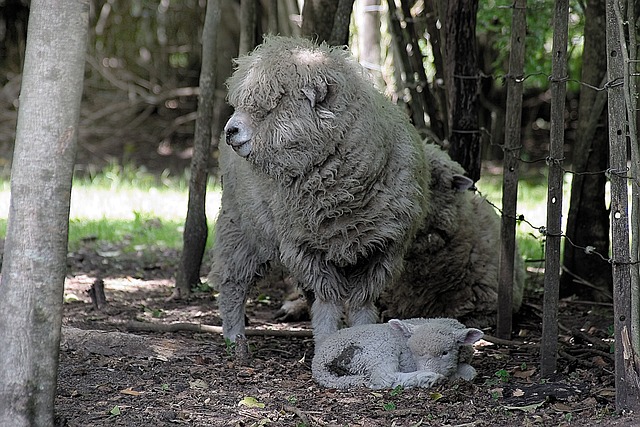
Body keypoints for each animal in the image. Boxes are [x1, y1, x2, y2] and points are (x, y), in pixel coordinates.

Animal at [211, 35, 524, 346]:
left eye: (274, 103)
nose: (230, 131)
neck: (342, 196)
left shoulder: (381, 250)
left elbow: (361, 304)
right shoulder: (309, 248)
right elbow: (328, 303)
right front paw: (327, 342)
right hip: (240, 225)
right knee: (232, 282)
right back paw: (234, 337)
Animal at [312, 318, 484, 392]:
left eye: (445, 352)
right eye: (413, 354)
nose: (431, 370)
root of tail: (318, 362)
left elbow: (470, 372)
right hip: (380, 349)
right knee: (384, 378)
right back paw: (427, 378)